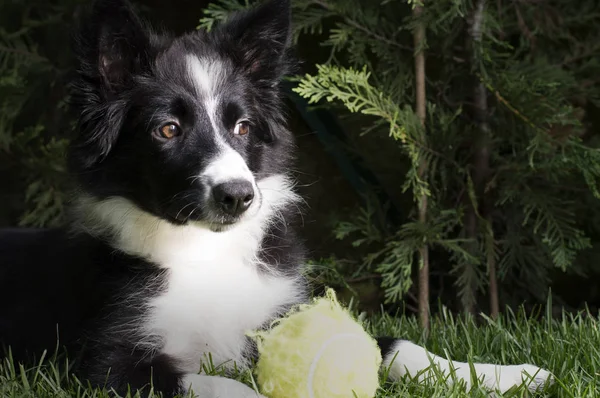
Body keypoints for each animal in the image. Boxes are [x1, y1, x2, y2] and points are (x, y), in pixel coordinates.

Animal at [0, 0, 552, 394]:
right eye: (167, 129)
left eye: (242, 126)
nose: (238, 197)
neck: (205, 251)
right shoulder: (106, 363)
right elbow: (219, 385)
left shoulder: (283, 312)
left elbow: (399, 345)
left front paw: (509, 374)